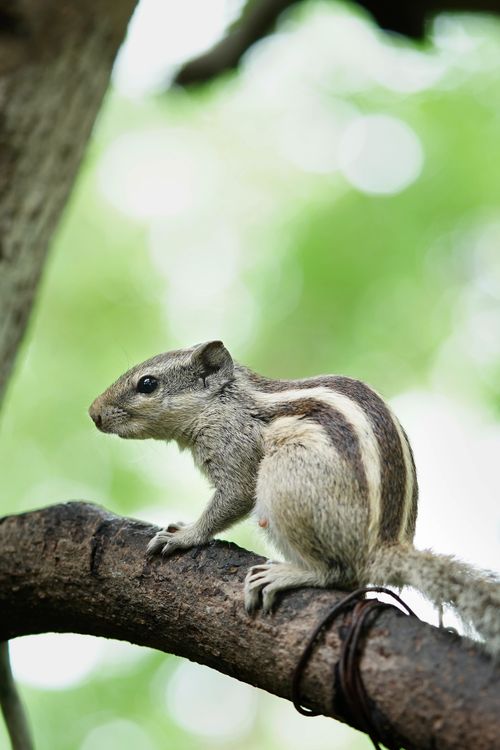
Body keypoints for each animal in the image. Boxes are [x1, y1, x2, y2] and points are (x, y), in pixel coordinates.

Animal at [89, 340, 500, 655]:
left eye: (147, 384)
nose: (93, 413)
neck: (226, 401)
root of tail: (385, 550)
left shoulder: (233, 447)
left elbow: (234, 496)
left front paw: (185, 535)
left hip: (286, 482)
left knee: (339, 573)